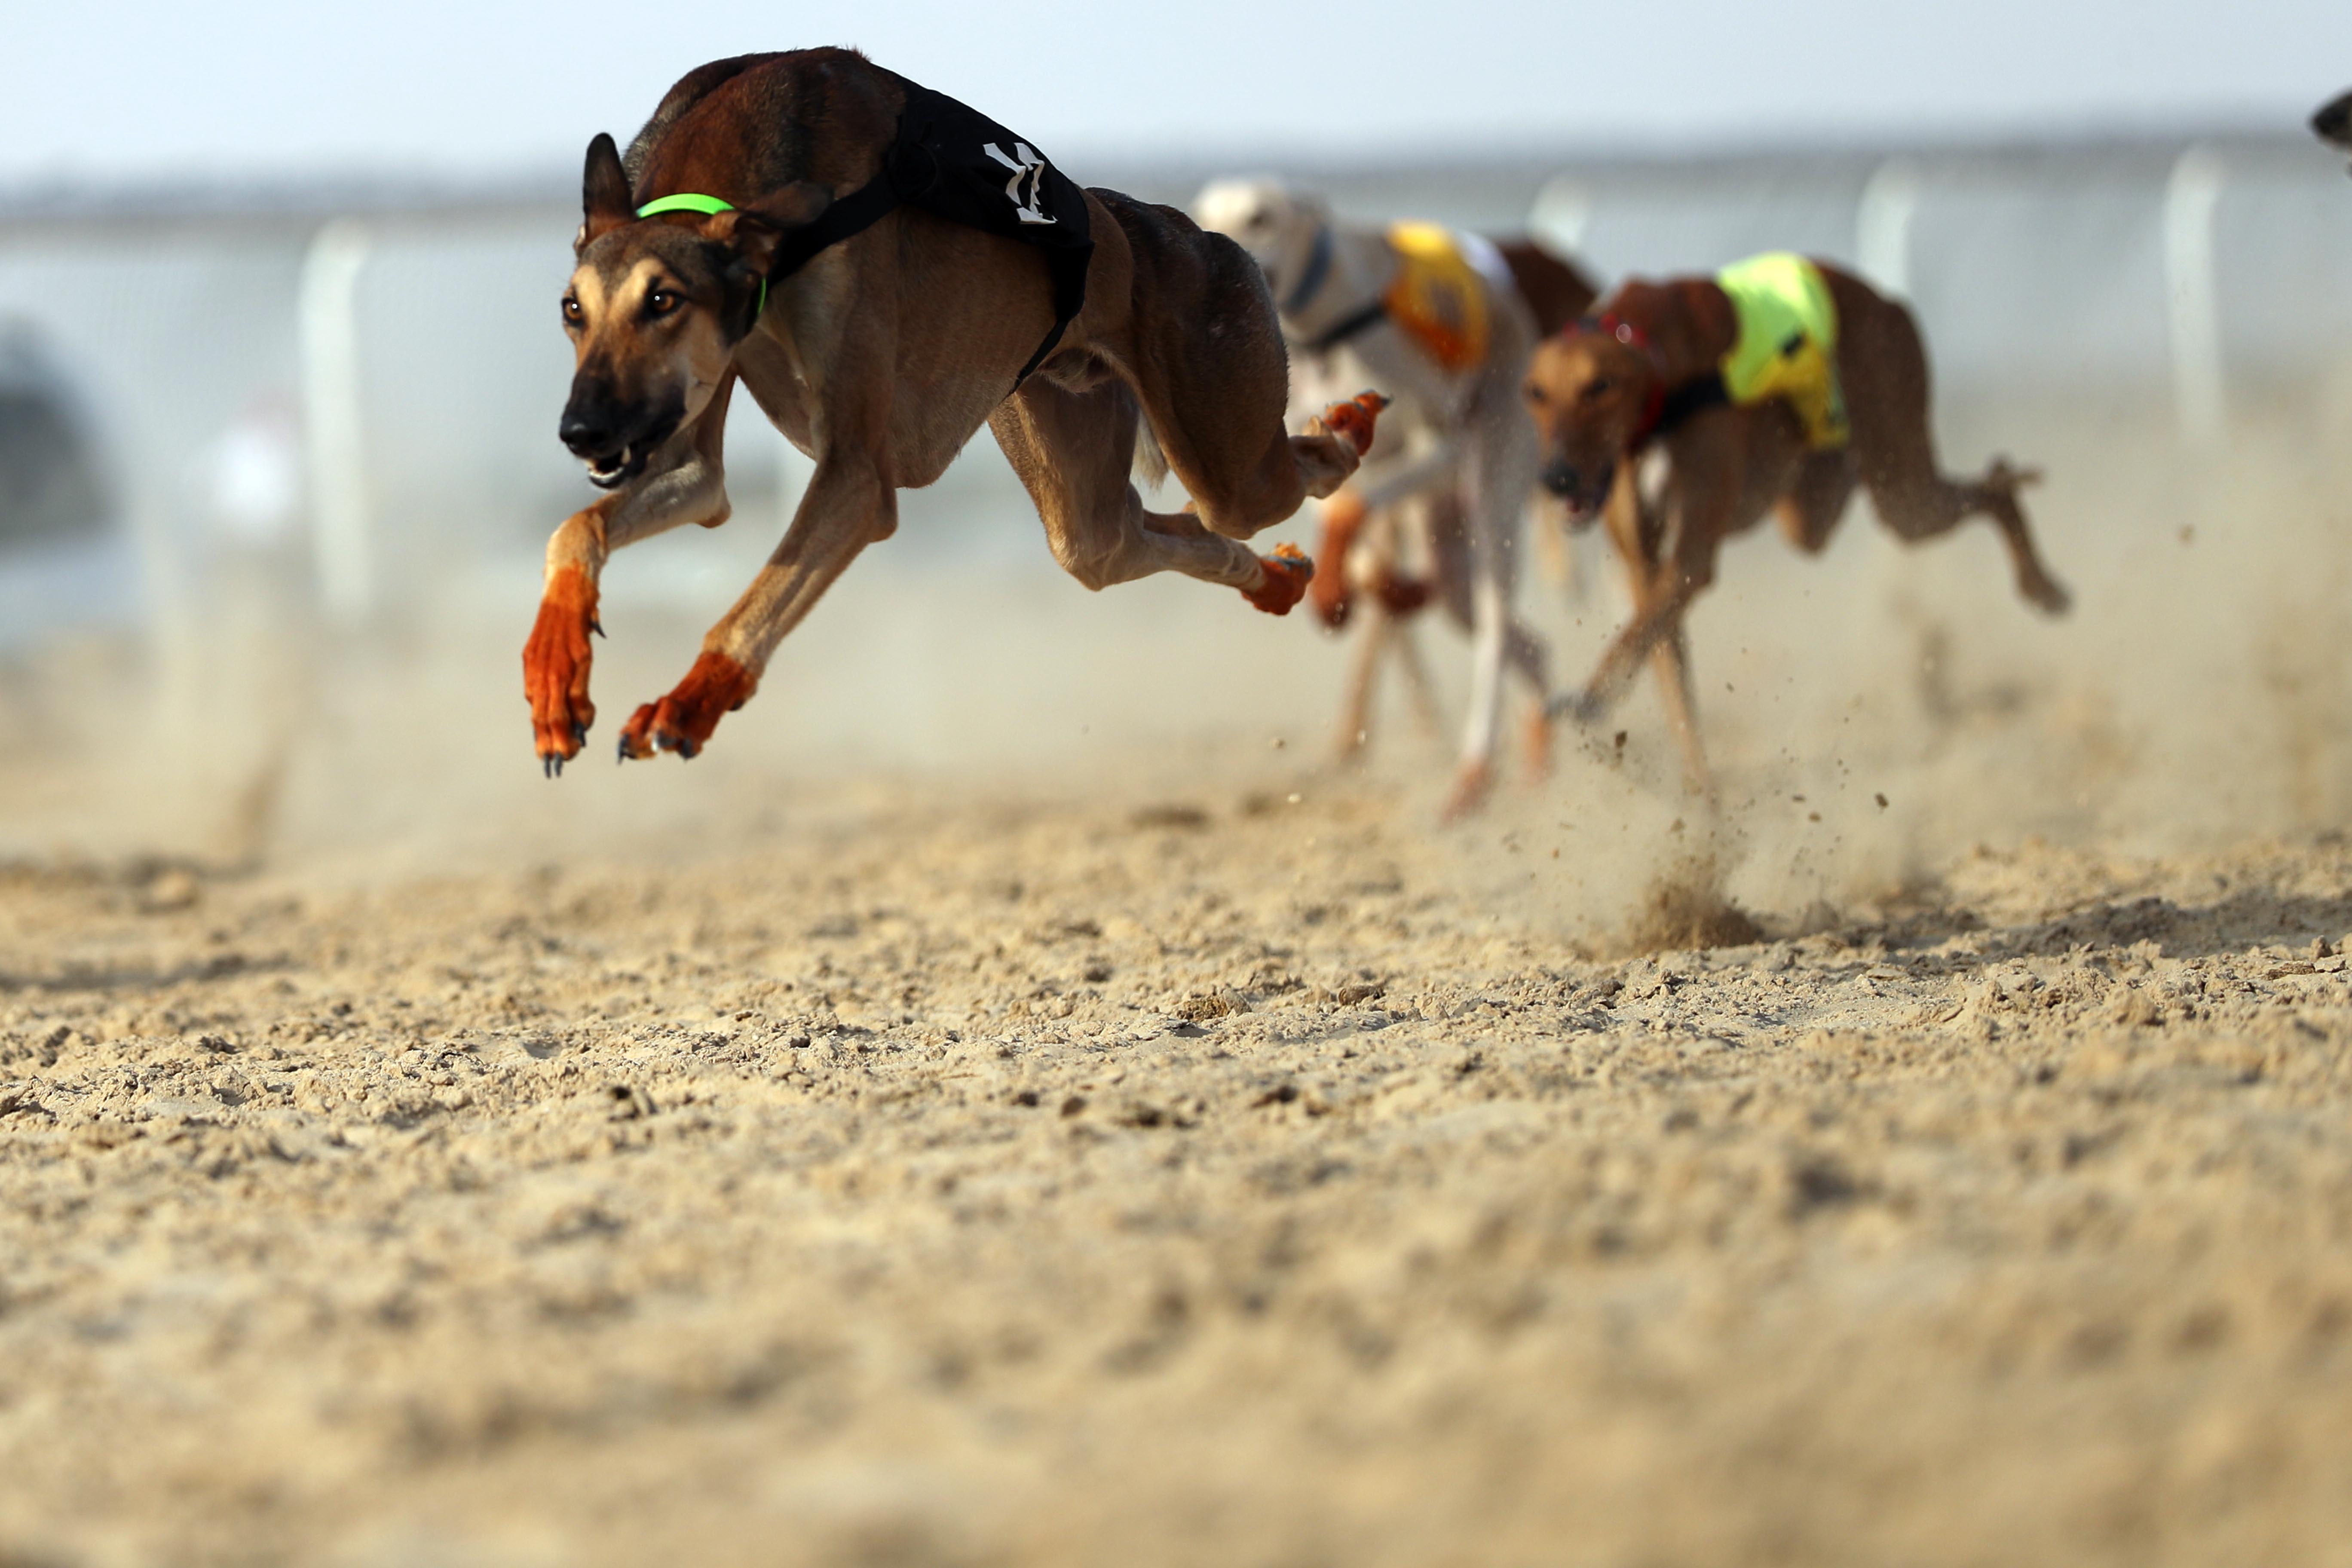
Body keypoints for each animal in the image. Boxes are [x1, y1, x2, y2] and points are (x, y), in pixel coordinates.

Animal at [524, 52, 1383, 775]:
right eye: (572, 309)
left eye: (663, 301)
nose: (580, 431)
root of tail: (1190, 229)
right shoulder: (689, 452)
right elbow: (584, 526)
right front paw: (555, 668)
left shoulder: (856, 478)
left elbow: (752, 604)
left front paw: (692, 699)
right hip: (1074, 474)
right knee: (1139, 537)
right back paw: (1273, 580)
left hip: (1225, 438)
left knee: (1282, 479)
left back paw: (1351, 428)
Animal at [1204, 181, 1590, 823]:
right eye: (1200, 215)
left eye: (1261, 217)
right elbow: (1353, 541)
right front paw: (1343, 593)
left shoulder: (1442, 442)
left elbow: (1356, 509)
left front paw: (1338, 593)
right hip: (1450, 545)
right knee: (1528, 645)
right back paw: (1535, 764)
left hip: (1494, 490)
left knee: (1495, 636)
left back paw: (1473, 774)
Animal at [1524, 266, 2060, 799]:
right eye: (1537, 393)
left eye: (1600, 386)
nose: (1555, 478)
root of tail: (1887, 300)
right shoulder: (1647, 564)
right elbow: (1667, 673)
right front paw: (1703, 798)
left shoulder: (1692, 558)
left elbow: (1639, 633)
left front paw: (1589, 700)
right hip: (1814, 507)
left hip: (1905, 493)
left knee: (1995, 487)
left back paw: (2043, 586)